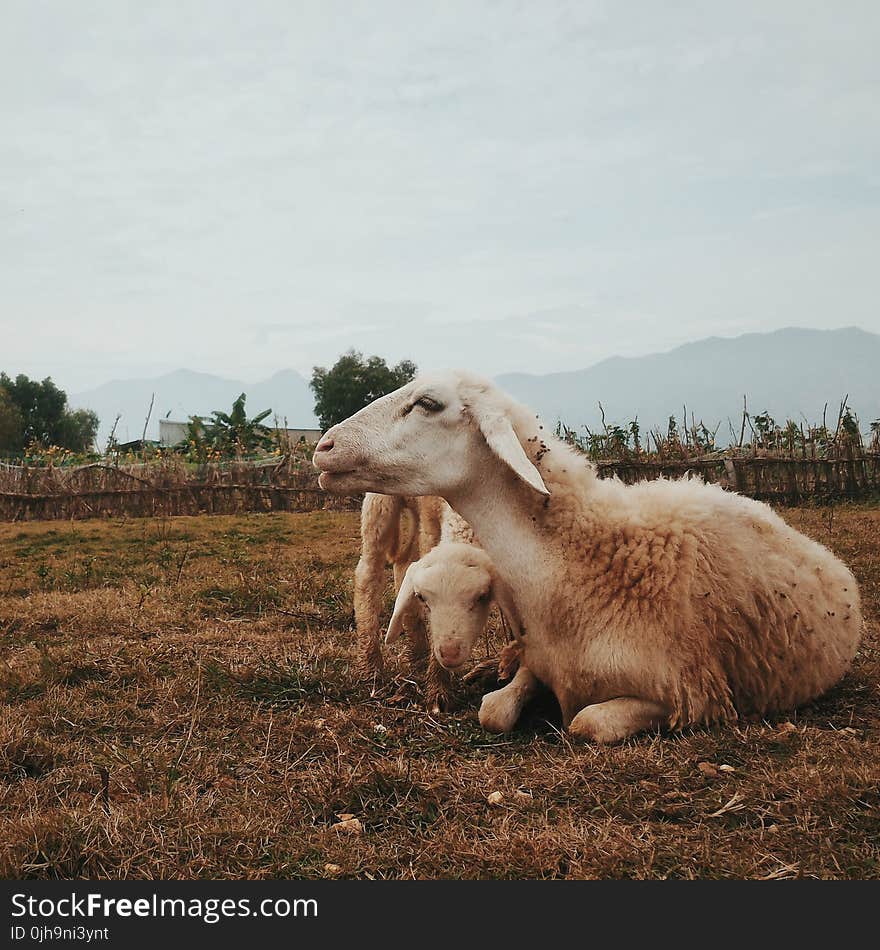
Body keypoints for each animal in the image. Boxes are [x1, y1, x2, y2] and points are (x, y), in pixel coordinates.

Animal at [312, 372, 864, 744]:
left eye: (428, 403)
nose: (324, 446)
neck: (579, 560)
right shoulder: (541, 659)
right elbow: (493, 710)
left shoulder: (686, 693)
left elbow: (584, 722)